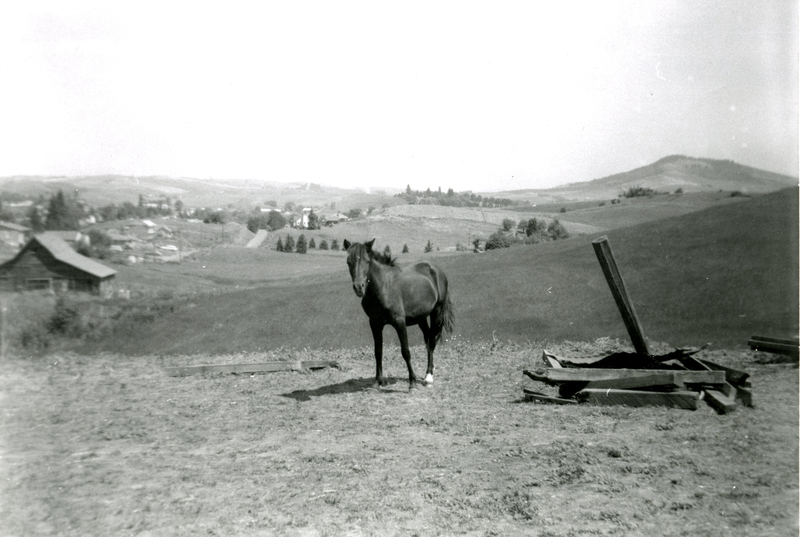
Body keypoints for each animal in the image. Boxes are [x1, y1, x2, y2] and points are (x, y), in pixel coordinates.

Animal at [344, 239, 456, 390]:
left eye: (367, 261)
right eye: (348, 261)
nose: (359, 287)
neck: (384, 287)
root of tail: (436, 269)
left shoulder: (399, 322)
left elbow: (405, 352)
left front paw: (412, 382)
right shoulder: (375, 323)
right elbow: (378, 351)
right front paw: (378, 381)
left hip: (436, 313)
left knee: (432, 341)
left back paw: (428, 377)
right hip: (421, 318)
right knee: (427, 339)